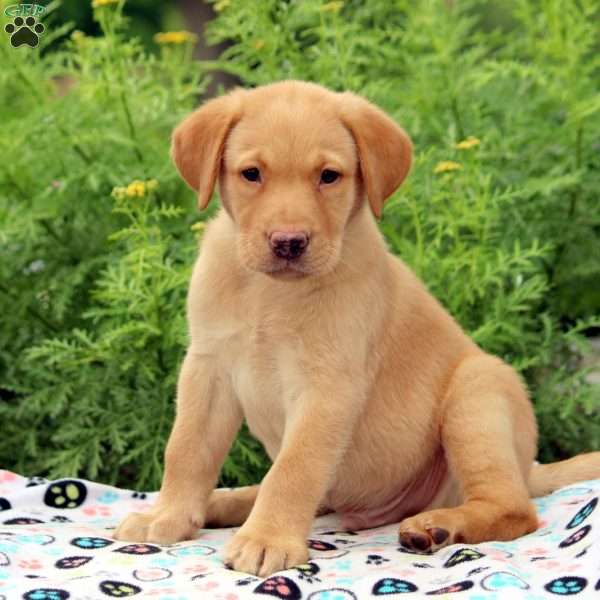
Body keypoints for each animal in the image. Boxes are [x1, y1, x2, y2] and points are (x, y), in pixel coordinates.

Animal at [115, 81, 600, 576]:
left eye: (329, 176)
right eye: (251, 174)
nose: (288, 242)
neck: (270, 294)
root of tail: (529, 470)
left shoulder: (327, 386)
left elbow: (293, 469)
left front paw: (267, 538)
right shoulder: (207, 367)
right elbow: (186, 449)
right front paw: (169, 515)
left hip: (476, 394)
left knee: (513, 508)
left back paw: (436, 526)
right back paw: (222, 504)